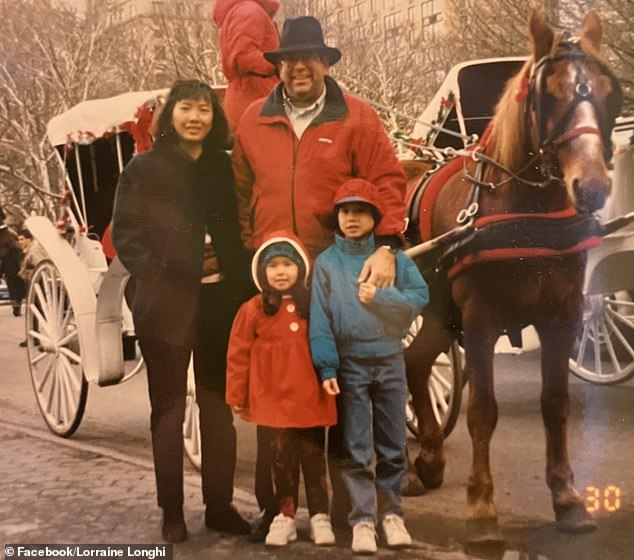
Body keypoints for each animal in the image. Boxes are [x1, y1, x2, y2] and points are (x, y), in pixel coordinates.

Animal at [402, 7, 620, 544]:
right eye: (550, 94)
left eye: (608, 91)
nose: (593, 186)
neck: (521, 208)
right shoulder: (480, 320)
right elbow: (483, 411)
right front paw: (481, 506)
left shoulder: (562, 314)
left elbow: (556, 403)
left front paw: (567, 498)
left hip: (436, 313)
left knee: (415, 363)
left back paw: (429, 459)